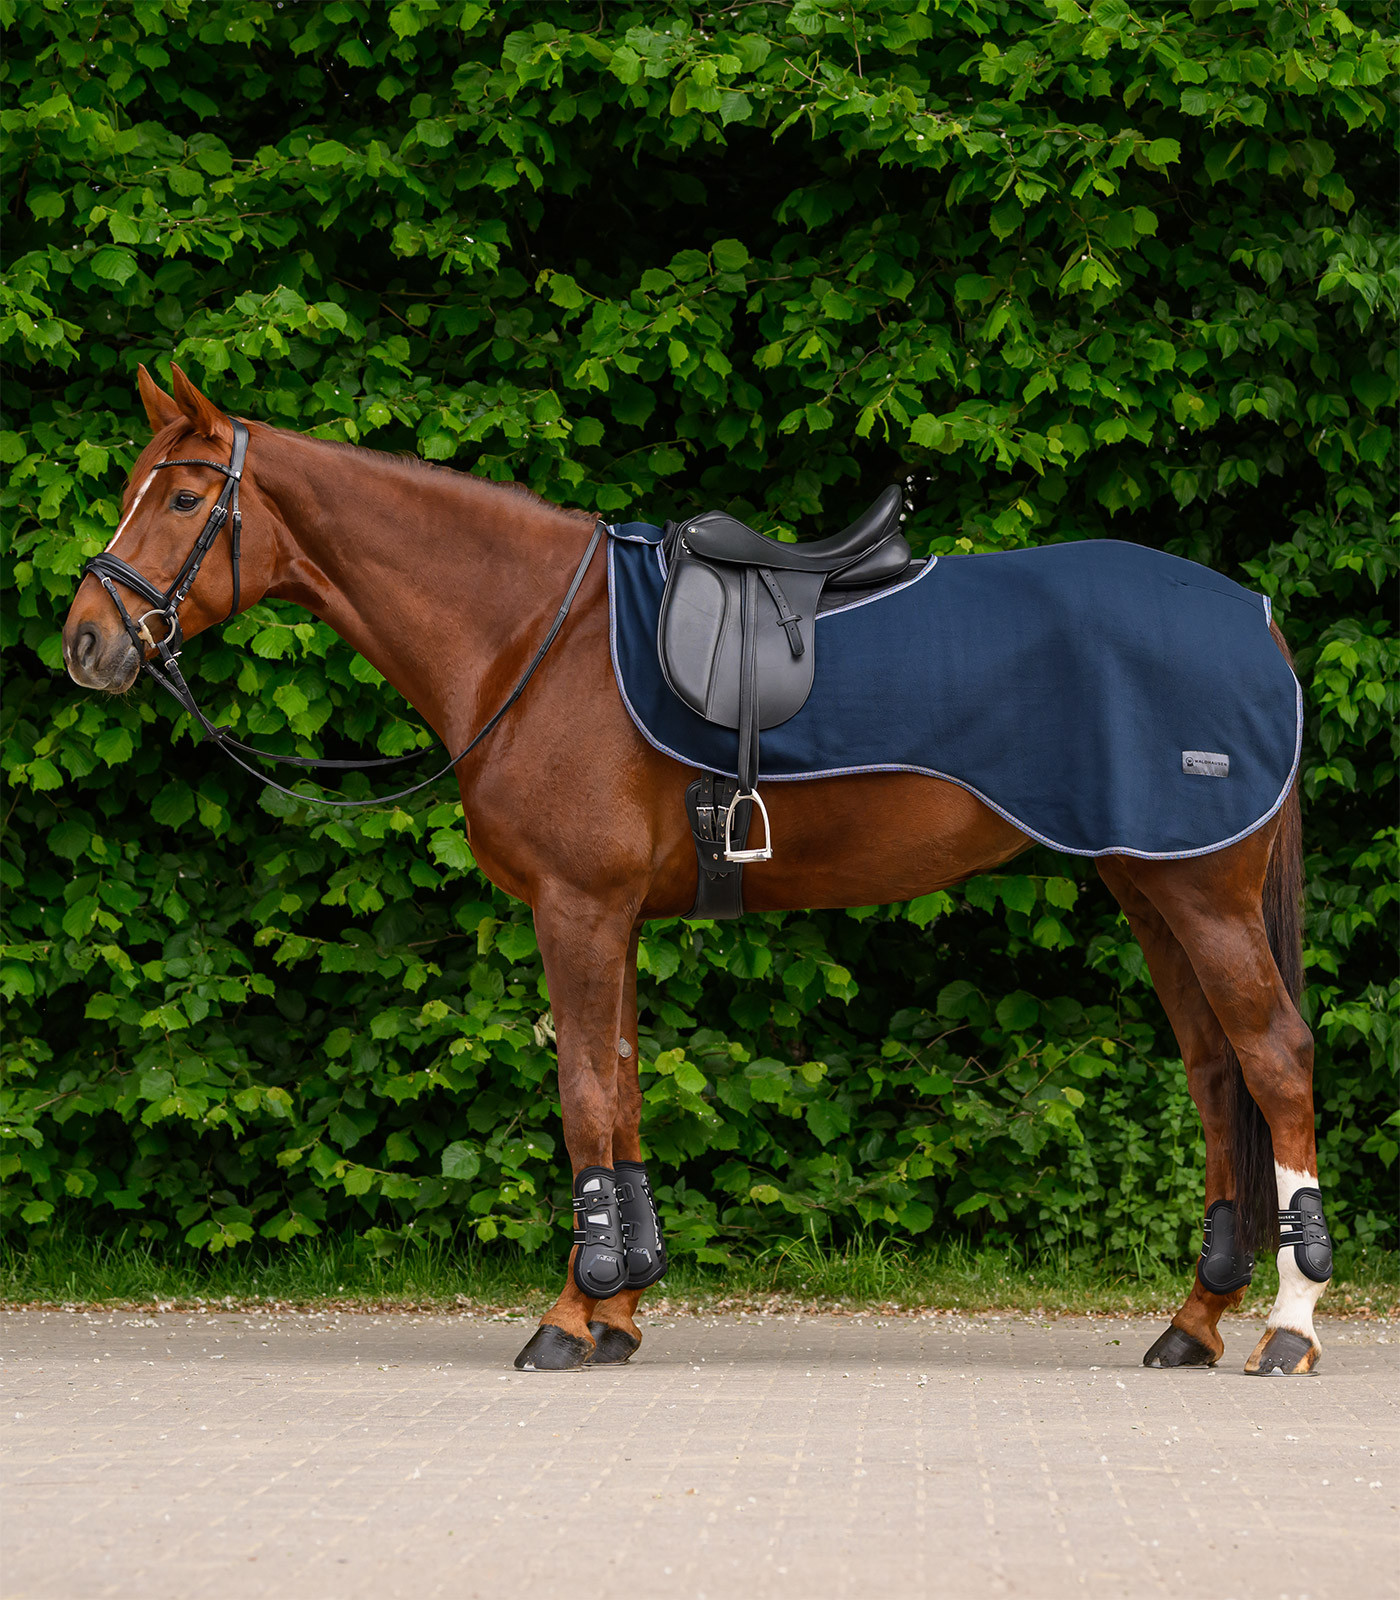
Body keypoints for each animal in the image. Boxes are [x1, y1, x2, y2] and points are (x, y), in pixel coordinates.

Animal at [62, 366, 1331, 1377]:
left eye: (182, 496)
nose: (87, 639)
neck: (532, 637)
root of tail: (1249, 613)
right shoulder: (610, 913)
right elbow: (619, 1090)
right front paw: (620, 1305)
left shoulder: (576, 907)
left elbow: (582, 1096)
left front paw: (569, 1316)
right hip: (1151, 885)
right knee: (1214, 1076)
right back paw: (1193, 1320)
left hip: (1200, 893)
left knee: (1272, 1060)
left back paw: (1288, 1326)